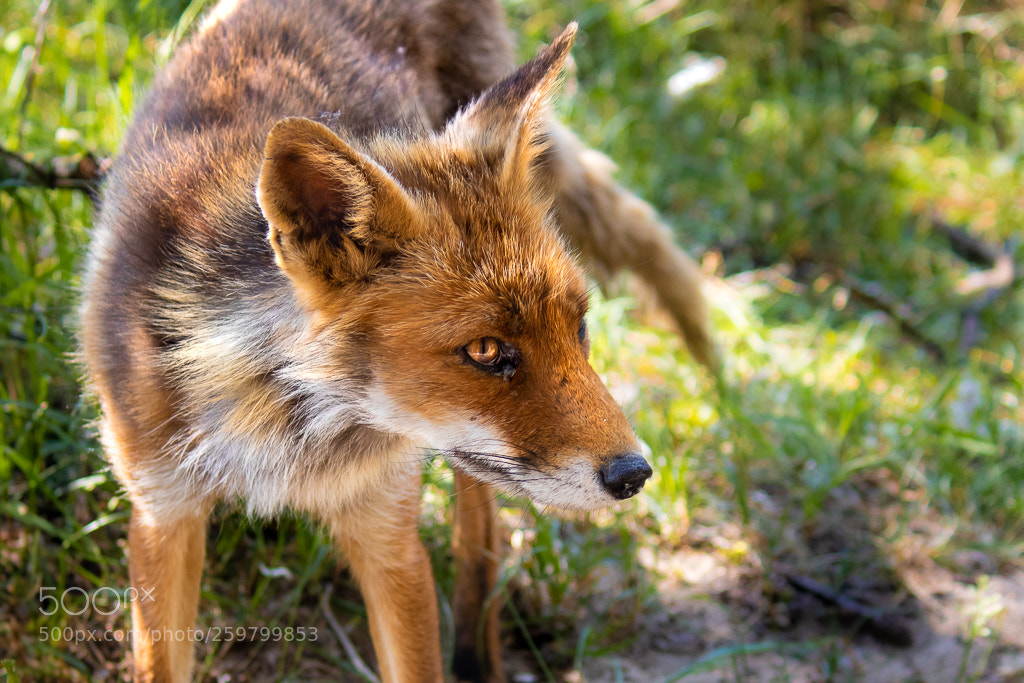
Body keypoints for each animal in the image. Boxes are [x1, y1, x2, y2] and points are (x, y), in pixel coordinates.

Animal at [78, 0, 715, 681]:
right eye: (486, 351)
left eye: (579, 327)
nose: (636, 474)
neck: (272, 411)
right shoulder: (160, 512)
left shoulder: (388, 537)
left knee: (481, 530)